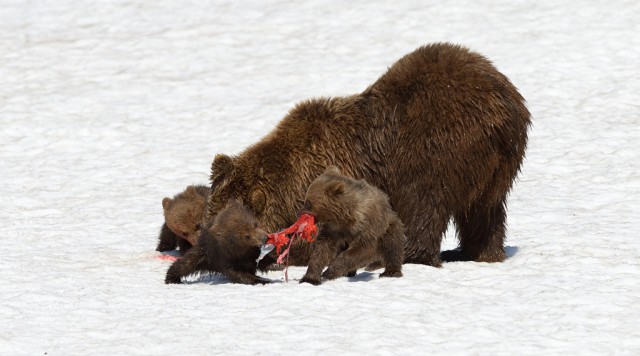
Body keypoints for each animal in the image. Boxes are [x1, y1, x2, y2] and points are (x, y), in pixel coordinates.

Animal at [205, 42, 528, 268]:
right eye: (207, 218)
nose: (207, 251)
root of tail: (506, 108)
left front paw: (279, 257)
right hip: (494, 170)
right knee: (485, 213)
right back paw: (479, 253)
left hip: (438, 146)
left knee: (423, 204)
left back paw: (405, 255)